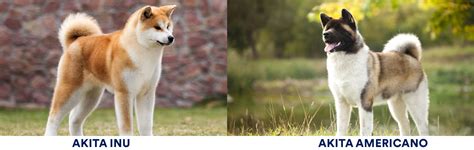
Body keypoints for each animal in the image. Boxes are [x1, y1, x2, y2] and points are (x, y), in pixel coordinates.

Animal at [45, 4, 176, 136]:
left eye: (168, 26)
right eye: (157, 27)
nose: (171, 38)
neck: (142, 51)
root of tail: (75, 41)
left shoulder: (146, 93)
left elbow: (146, 125)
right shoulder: (124, 93)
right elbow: (126, 126)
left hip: (92, 97)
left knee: (73, 119)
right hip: (70, 90)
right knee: (53, 117)